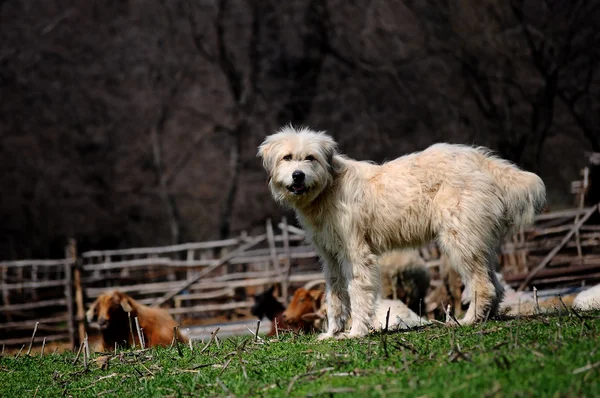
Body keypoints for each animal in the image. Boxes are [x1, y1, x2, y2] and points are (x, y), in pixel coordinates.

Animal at [255, 125, 548, 338]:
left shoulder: (357, 254)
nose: (298, 175)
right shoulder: (330, 258)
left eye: (310, 158)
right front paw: (332, 334)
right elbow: (336, 297)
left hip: (460, 242)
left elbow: (358, 293)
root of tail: (482, 160)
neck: (328, 187)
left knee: (483, 285)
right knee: (495, 284)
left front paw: (356, 332)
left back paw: (468, 320)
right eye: (287, 158)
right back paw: (487, 317)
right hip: (478, 243)